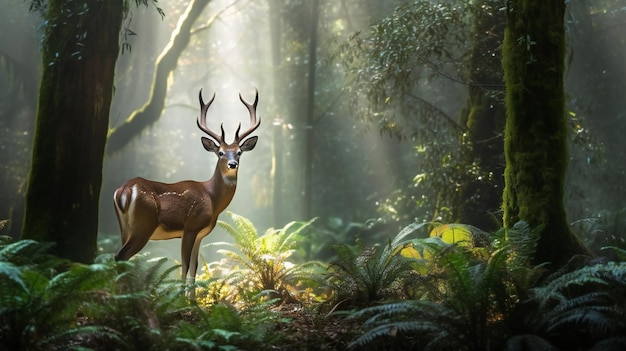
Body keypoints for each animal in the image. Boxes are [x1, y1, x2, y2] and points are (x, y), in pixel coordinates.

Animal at [112, 90, 258, 292]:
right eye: (220, 152)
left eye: (239, 152)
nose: (232, 164)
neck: (211, 198)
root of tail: (124, 190)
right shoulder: (191, 226)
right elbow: (185, 266)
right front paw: (181, 298)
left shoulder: (200, 234)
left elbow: (194, 268)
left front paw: (192, 298)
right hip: (144, 224)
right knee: (121, 256)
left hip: (124, 226)